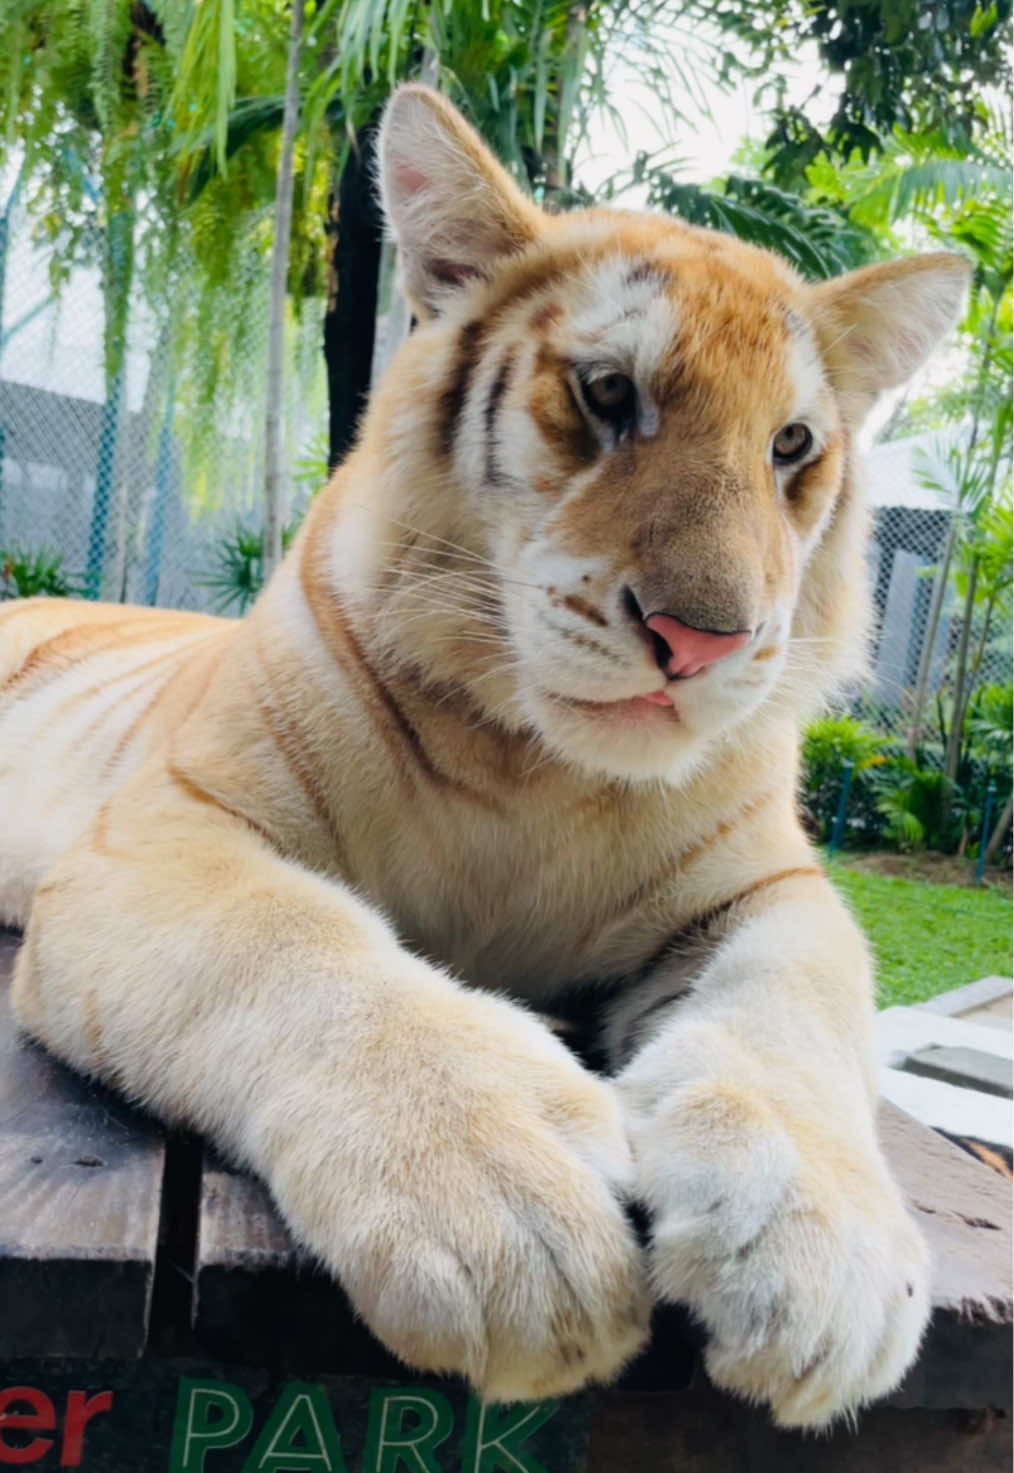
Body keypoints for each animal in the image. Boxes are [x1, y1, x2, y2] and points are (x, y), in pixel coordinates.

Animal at [0, 86, 966, 1419]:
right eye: (608, 394)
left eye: (789, 447)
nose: (705, 641)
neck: (542, 772)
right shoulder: (165, 833)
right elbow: (296, 947)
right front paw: (511, 1203)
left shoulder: (768, 888)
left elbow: (793, 1019)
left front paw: (822, 1257)